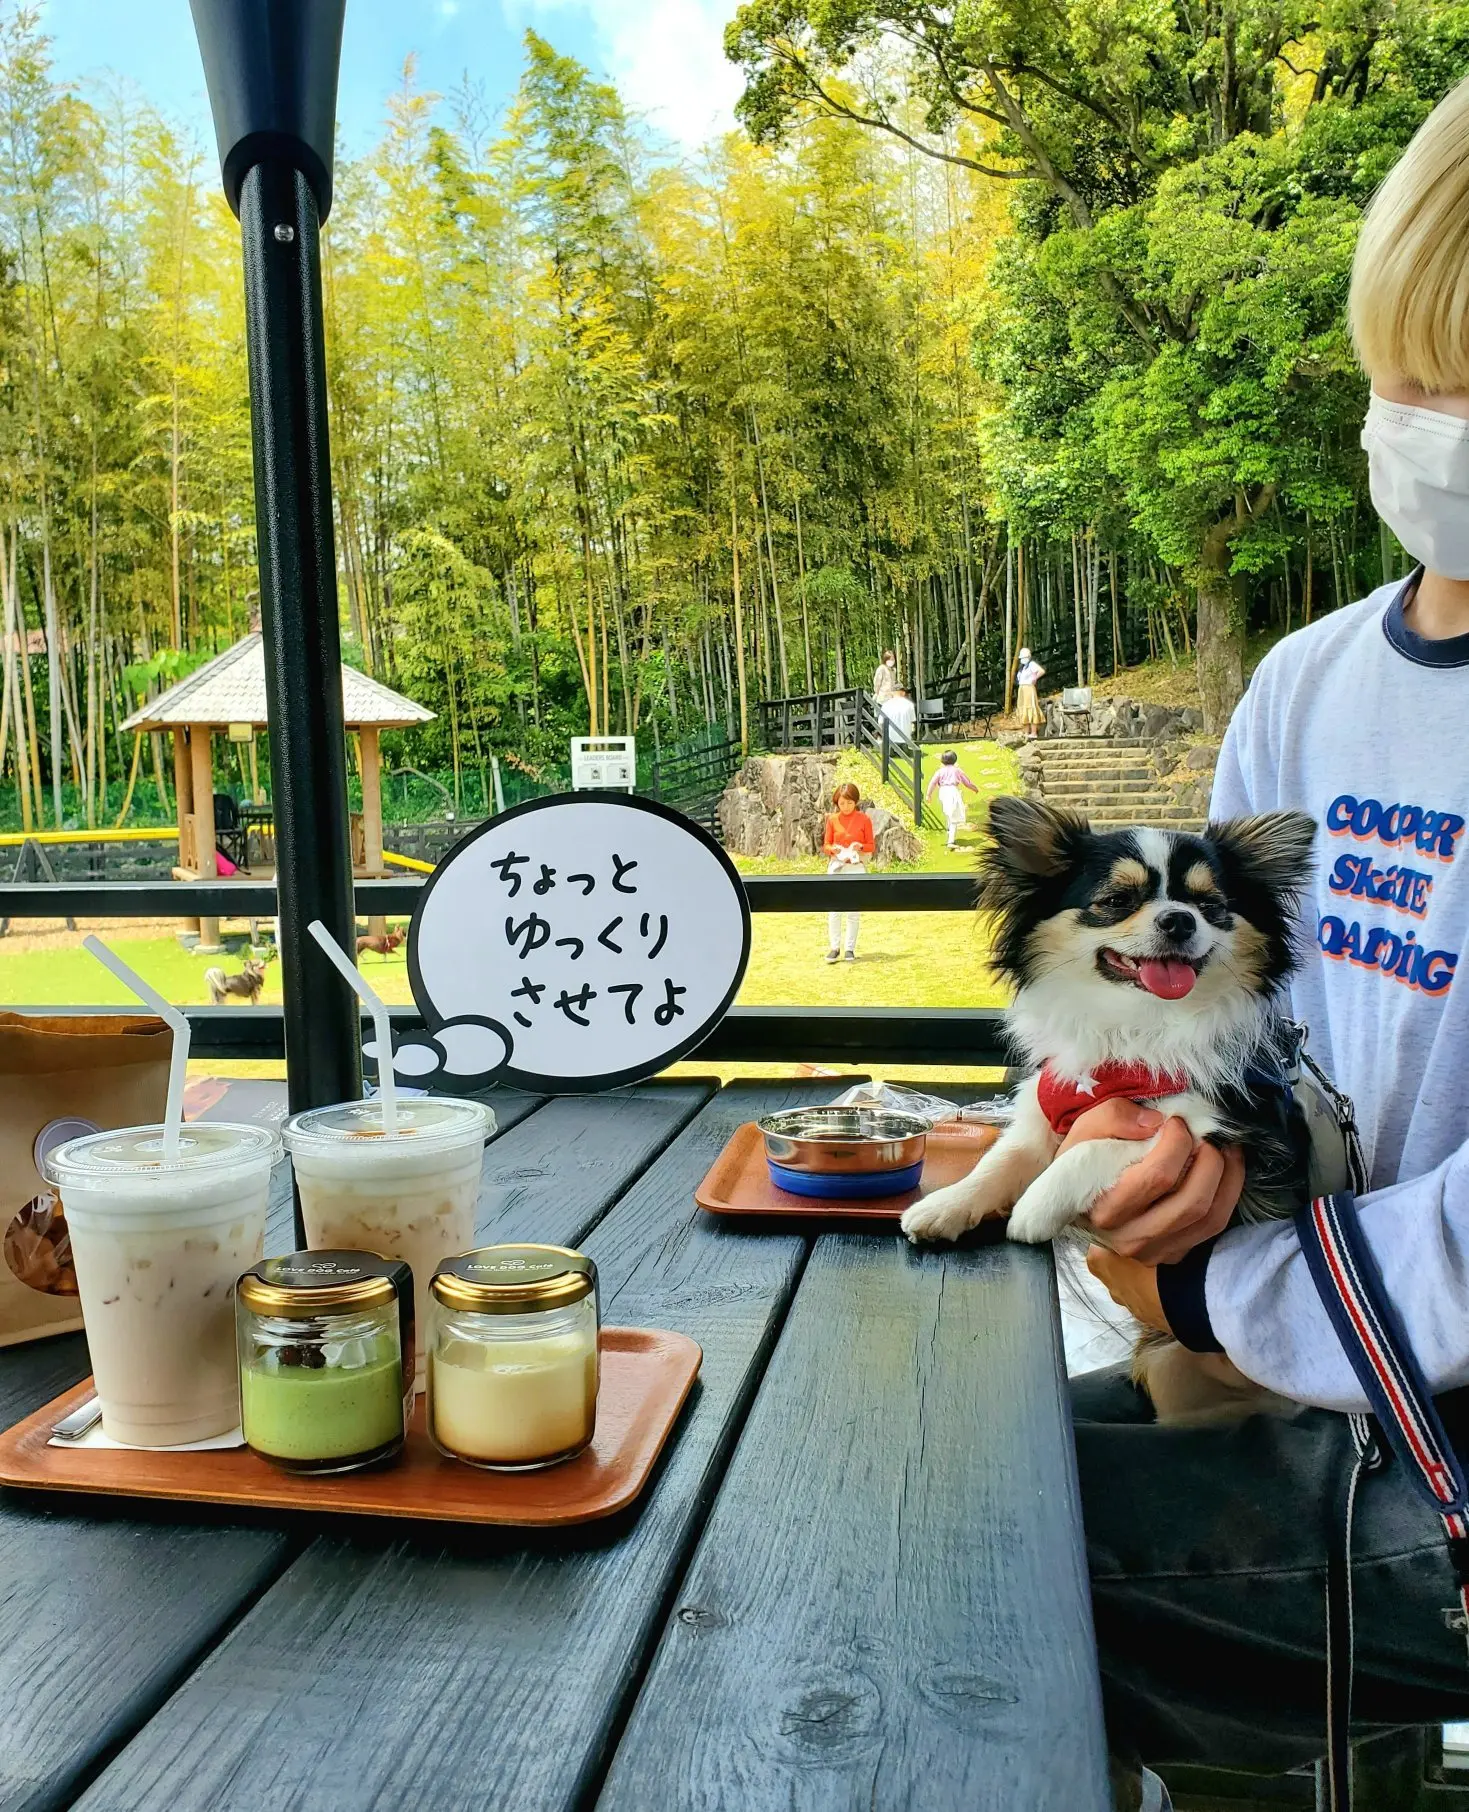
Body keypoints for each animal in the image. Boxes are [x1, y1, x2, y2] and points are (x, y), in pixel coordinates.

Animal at [902, 800, 1318, 1420]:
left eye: (1212, 907)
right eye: (1117, 900)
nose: (1179, 920)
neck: (1137, 1028)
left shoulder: (1231, 1131)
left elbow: (1097, 1146)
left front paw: (1036, 1206)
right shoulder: (1042, 1113)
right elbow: (999, 1163)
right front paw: (947, 1205)